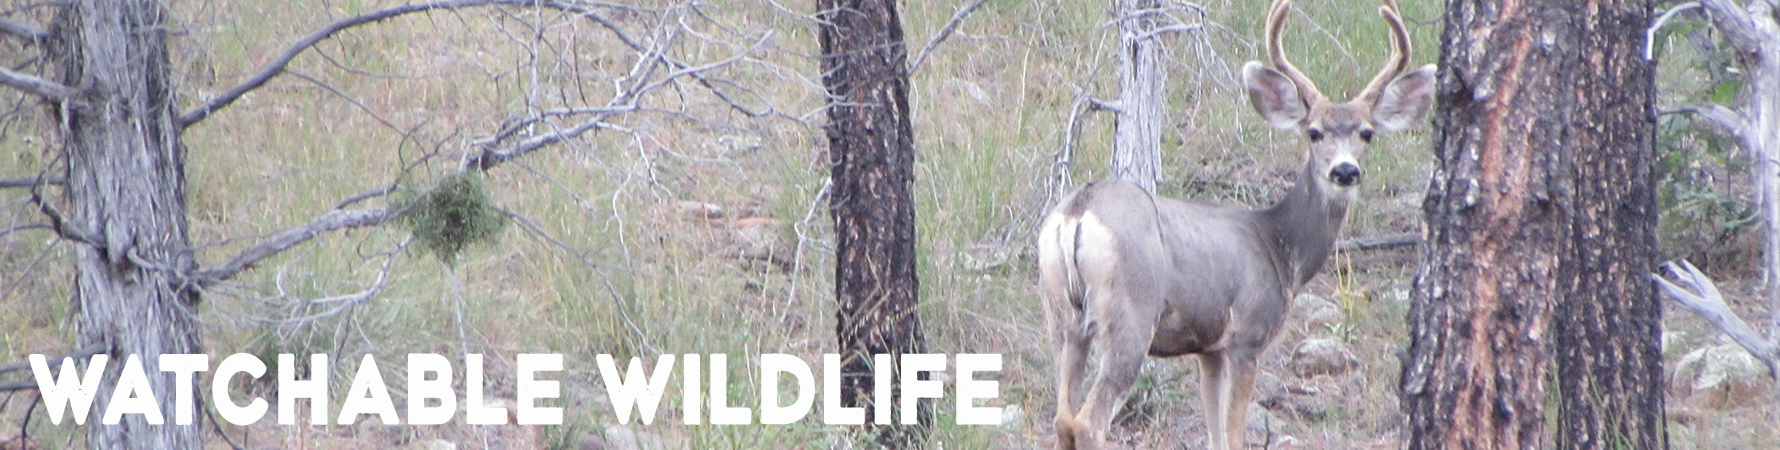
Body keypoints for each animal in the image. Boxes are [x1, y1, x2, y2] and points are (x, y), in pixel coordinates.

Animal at [1036, 0, 1435, 448]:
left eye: (1367, 133)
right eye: (1314, 132)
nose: (1345, 170)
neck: (1278, 246)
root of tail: (1078, 210)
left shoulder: (1208, 348)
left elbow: (1215, 433)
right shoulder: (1247, 335)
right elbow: (1235, 432)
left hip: (1061, 316)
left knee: (1062, 417)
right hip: (1130, 312)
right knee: (1088, 420)